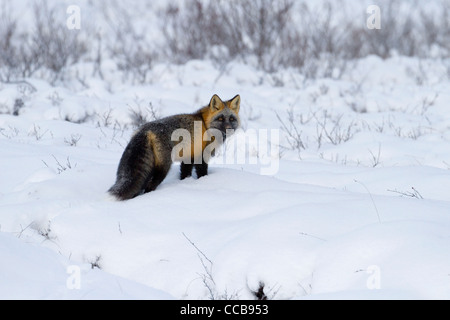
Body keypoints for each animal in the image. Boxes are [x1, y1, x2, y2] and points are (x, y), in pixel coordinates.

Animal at [107, 94, 241, 201]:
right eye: (220, 118)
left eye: (231, 119)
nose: (229, 128)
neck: (205, 125)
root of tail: (145, 130)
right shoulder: (200, 157)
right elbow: (202, 173)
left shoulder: (188, 157)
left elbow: (185, 175)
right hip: (163, 168)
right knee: (149, 186)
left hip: (148, 169)